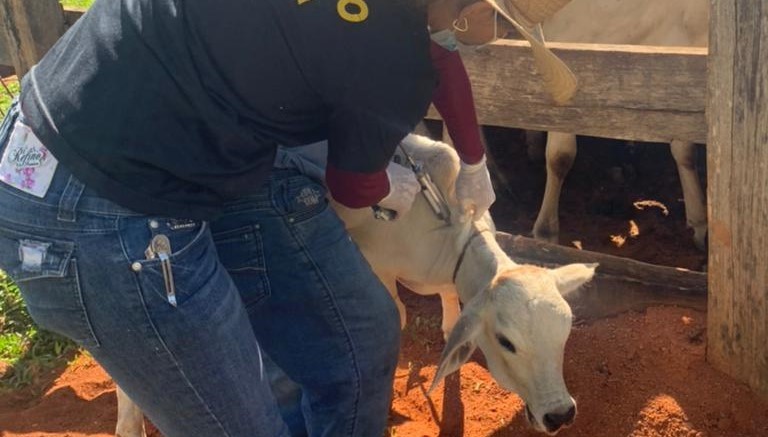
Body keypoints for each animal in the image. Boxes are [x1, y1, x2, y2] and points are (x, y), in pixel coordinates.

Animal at [114, 134, 596, 436]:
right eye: (507, 342)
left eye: (565, 334)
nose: (561, 413)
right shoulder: (373, 263)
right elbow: (396, 316)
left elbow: (449, 319)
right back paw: (129, 423)